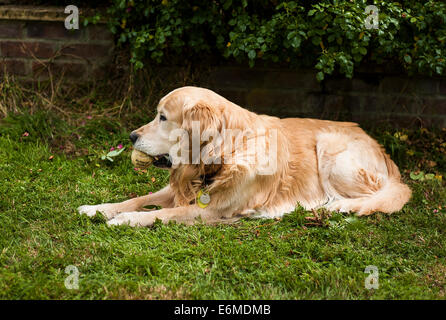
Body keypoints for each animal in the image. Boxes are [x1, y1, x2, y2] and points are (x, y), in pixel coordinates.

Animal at [77, 85, 412, 225]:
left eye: (162, 117)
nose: (131, 137)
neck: (225, 155)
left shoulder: (214, 210)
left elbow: (163, 213)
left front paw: (127, 219)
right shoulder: (180, 188)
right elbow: (137, 198)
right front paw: (99, 209)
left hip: (331, 150)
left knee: (373, 195)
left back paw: (337, 206)